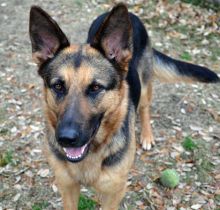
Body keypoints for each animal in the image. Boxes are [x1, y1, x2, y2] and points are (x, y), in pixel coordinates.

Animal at [28, 3, 218, 210]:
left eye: (95, 87)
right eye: (58, 86)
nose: (66, 139)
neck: (91, 154)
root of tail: (132, 15)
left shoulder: (113, 193)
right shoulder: (67, 187)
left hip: (145, 87)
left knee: (144, 108)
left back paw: (147, 136)